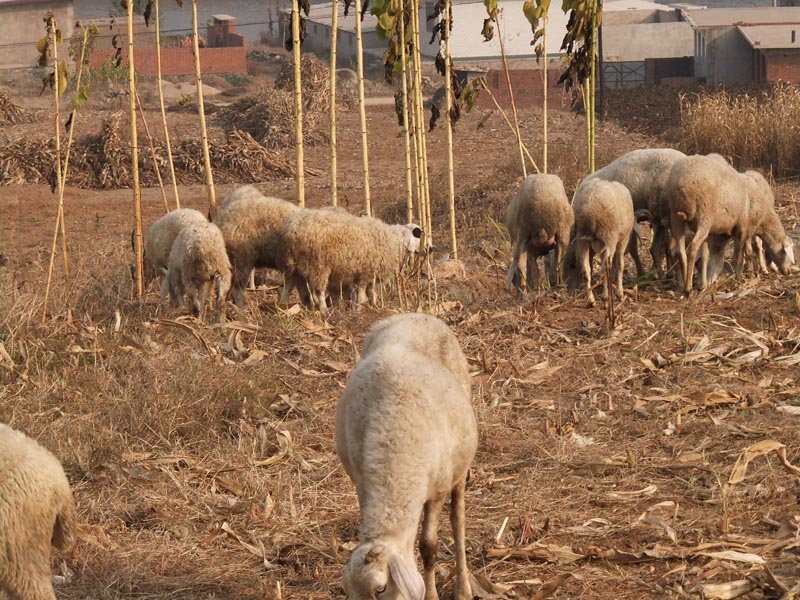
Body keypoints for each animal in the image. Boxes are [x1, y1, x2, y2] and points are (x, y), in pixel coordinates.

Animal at [278, 210, 422, 316]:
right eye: (418, 234)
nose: (427, 249)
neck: (393, 240)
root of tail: (291, 230)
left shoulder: (370, 273)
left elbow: (370, 292)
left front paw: (372, 305)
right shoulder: (365, 272)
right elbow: (362, 294)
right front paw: (359, 309)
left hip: (294, 268)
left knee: (286, 288)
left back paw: (284, 308)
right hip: (318, 267)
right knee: (318, 293)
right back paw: (325, 312)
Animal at [336, 314, 478, 600]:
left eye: (380, 588)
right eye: (347, 591)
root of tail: (412, 315)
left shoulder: (436, 491)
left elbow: (428, 546)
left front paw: (431, 595)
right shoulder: (362, 485)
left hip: (459, 468)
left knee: (458, 519)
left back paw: (463, 588)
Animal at [572, 175, 636, 304]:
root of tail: (589, 207)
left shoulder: (600, 244)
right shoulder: (622, 241)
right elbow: (620, 265)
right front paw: (619, 293)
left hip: (581, 237)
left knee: (586, 269)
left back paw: (591, 300)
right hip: (609, 235)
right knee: (606, 266)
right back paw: (608, 296)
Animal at [668, 154, 756, 292]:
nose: (711, 281)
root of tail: (683, 184)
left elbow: (705, 256)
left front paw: (703, 283)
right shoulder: (741, 225)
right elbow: (738, 255)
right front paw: (737, 278)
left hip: (676, 216)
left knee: (681, 252)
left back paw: (685, 283)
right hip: (705, 216)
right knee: (692, 248)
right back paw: (688, 288)